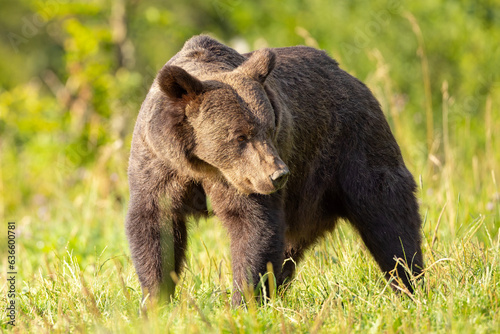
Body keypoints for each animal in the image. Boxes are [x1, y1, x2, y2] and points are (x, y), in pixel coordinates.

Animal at [125, 34, 422, 306]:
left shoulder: (242, 181)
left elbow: (253, 226)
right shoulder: (159, 166)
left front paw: (243, 301)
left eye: (269, 128)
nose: (278, 175)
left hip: (352, 147)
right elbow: (155, 226)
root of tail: (350, 77)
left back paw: (409, 284)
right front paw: (156, 300)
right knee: (290, 245)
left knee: (388, 216)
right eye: (240, 136)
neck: (203, 164)